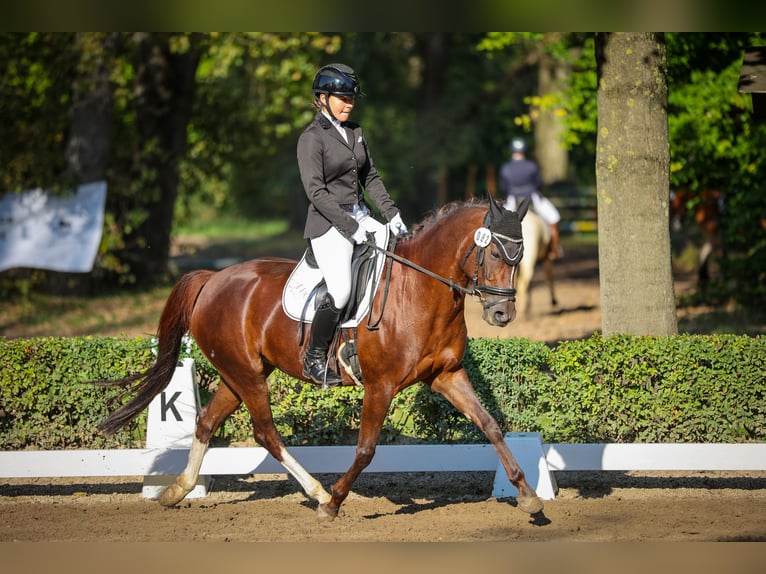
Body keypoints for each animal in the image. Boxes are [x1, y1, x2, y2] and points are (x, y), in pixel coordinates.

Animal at [99, 196, 544, 520]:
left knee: (207, 422)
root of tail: (213, 278)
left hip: (237, 374)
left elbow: (491, 426)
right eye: (495, 255)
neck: (420, 291)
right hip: (248, 377)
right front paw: (334, 503)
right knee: (266, 434)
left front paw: (528, 495)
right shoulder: (380, 387)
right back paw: (317, 493)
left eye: (520, 257)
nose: (503, 315)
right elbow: (365, 450)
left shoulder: (447, 375)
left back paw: (177, 490)